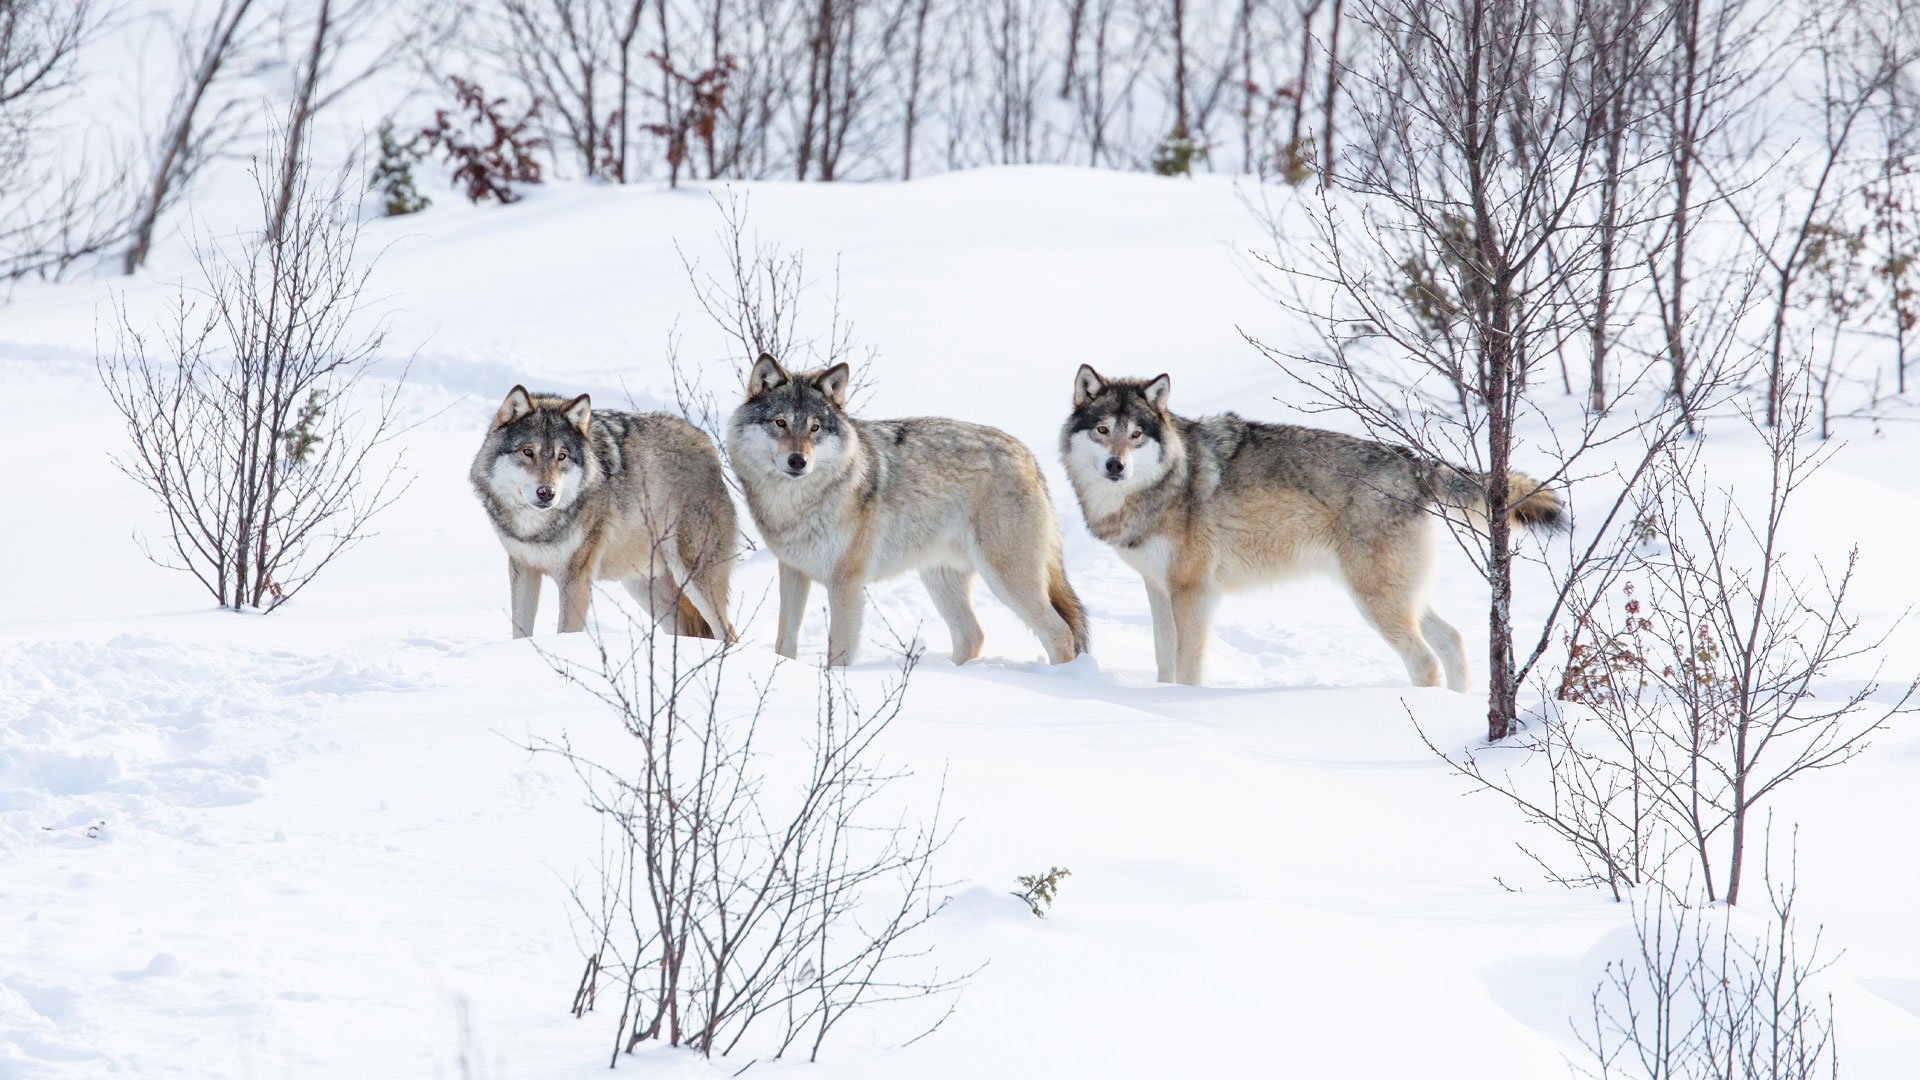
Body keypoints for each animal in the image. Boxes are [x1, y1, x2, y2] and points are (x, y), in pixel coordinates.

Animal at [470, 386, 733, 638]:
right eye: (527, 452)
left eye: (562, 456)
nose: (547, 493)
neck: (537, 529)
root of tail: (707, 443)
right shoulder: (523, 569)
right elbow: (520, 634)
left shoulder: (576, 579)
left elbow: (566, 632)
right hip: (648, 590)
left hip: (693, 578)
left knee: (728, 631)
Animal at [725, 353, 1090, 664]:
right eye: (780, 423)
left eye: (815, 428)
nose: (798, 461)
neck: (796, 504)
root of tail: (1027, 454)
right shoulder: (793, 571)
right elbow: (784, 643)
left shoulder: (846, 584)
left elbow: (837, 655)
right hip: (940, 579)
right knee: (973, 635)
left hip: (1006, 578)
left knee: (1060, 634)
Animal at [1059, 365, 1566, 684]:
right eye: (1103, 430)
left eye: (1136, 434)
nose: (1115, 467)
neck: (1164, 484)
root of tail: (1413, 463)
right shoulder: (1158, 588)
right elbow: (1164, 659)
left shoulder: (1193, 593)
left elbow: (1187, 667)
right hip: (1400, 596)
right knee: (1455, 640)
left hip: (1374, 600)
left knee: (1425, 661)